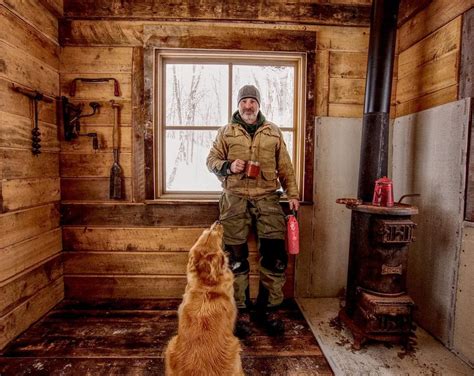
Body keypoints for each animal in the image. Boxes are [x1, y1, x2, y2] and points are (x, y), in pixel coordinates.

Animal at [164, 220, 244, 376]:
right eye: (212, 233)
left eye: (207, 231)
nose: (218, 221)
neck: (206, 284)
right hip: (235, 350)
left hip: (171, 345)